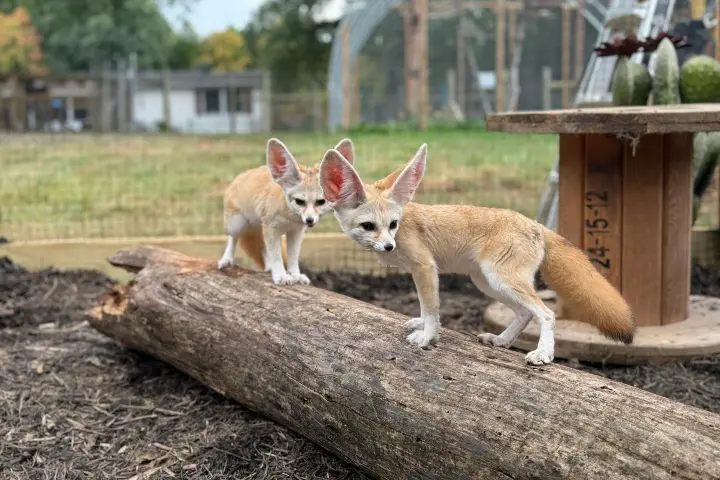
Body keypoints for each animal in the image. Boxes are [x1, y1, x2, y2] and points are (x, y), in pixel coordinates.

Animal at [218, 137, 356, 285]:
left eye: (321, 202)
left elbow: (292, 257)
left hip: (259, 228)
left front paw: (295, 274)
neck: (290, 217)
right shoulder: (272, 229)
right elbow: (276, 256)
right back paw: (227, 259)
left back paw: (269, 266)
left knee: (263, 247)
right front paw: (280, 274)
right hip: (238, 225)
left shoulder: (295, 232)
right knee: (233, 239)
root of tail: (239, 176)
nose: (309, 220)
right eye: (299, 201)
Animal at [318, 144, 635, 365]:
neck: (404, 224)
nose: (388, 247)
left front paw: (427, 336)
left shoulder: (425, 267)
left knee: (546, 313)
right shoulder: (421, 273)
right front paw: (421, 323)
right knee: (524, 313)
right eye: (368, 226)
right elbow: (425, 307)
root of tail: (536, 224)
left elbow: (432, 309)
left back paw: (543, 354)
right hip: (488, 283)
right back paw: (502, 340)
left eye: (392, 225)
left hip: (501, 280)